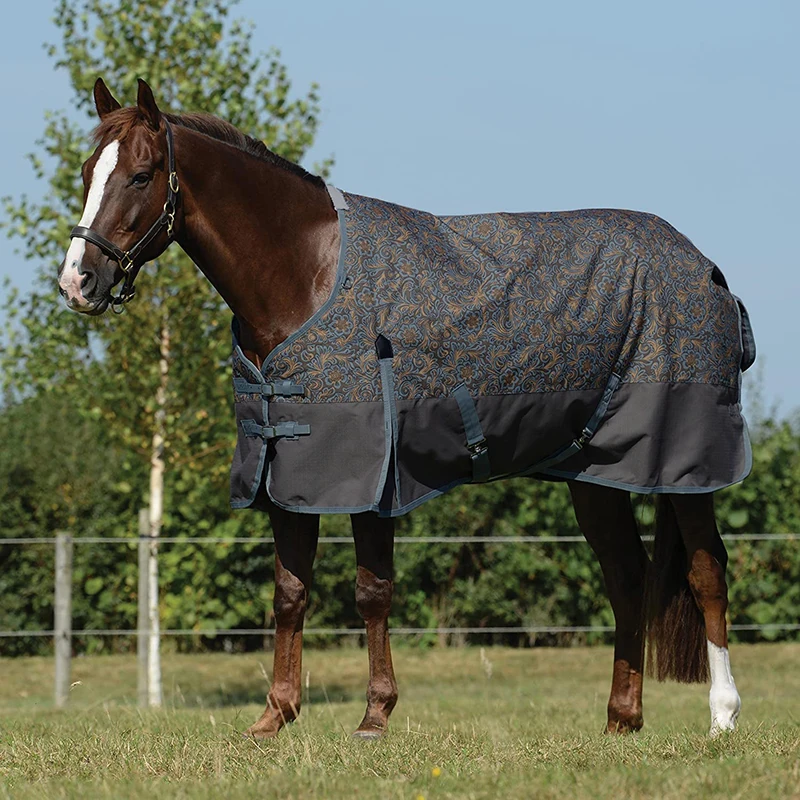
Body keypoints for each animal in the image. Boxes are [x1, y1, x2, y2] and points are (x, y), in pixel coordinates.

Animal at [59, 78, 752, 739]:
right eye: (90, 170)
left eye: (141, 175)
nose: (77, 282)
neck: (305, 275)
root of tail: (707, 269)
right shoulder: (289, 471)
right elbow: (289, 593)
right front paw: (274, 716)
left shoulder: (372, 476)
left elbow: (371, 593)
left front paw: (374, 716)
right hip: (595, 473)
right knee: (628, 578)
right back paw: (620, 719)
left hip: (686, 466)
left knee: (706, 571)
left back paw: (722, 716)